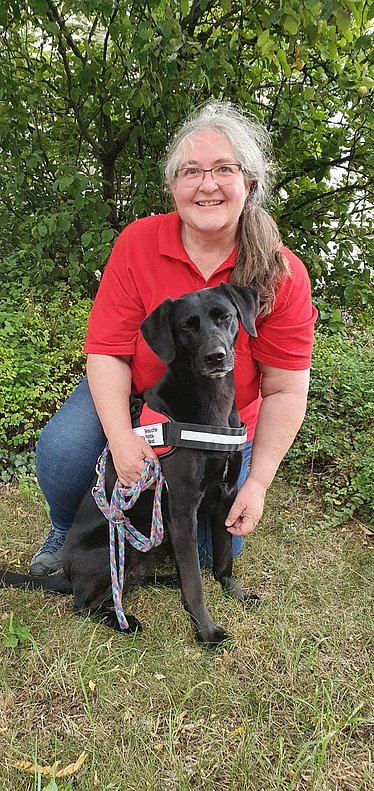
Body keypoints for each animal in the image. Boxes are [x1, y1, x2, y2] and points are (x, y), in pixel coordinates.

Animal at [0, 284, 258, 648]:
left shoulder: (226, 495)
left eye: (225, 317)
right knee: (83, 603)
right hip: (118, 545)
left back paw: (166, 580)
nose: (216, 356)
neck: (211, 402)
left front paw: (235, 593)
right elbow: (195, 582)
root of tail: (68, 574)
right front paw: (206, 632)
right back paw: (124, 620)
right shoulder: (182, 510)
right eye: (187, 327)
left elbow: (223, 560)